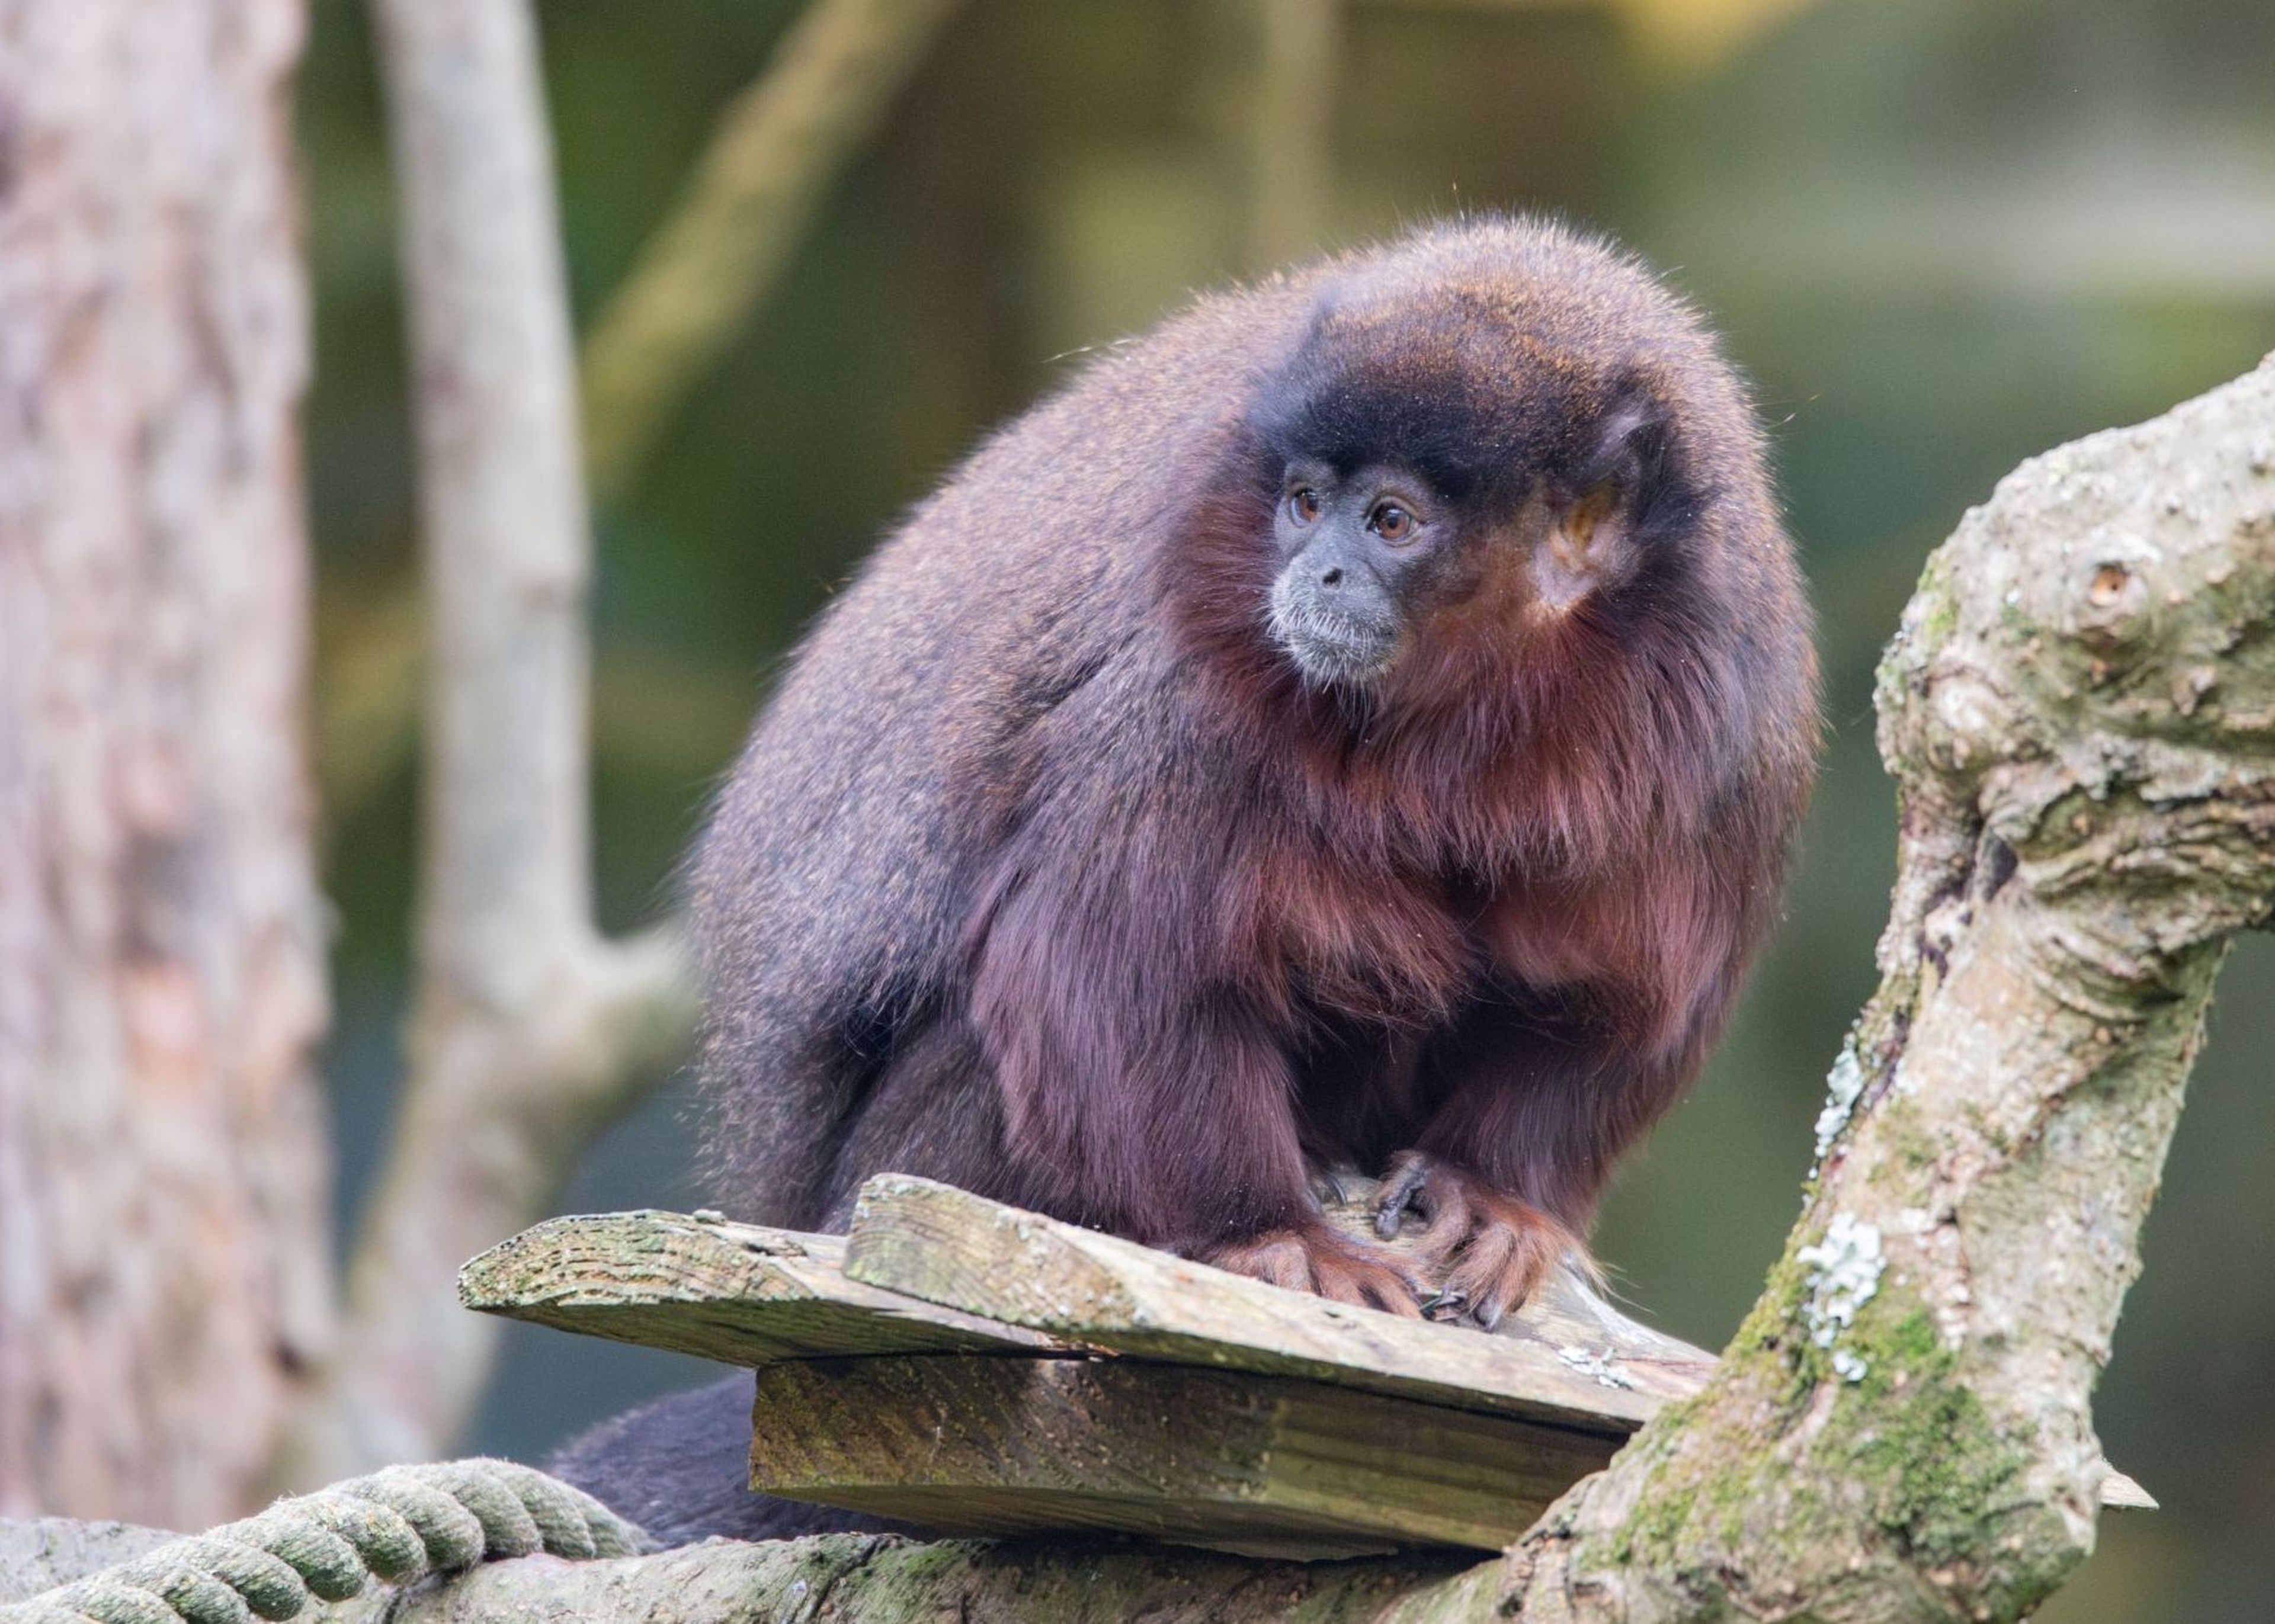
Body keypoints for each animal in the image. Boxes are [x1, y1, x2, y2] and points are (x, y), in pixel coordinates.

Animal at [552, 215, 1818, 1545]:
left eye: (1391, 521)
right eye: (1305, 505)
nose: (1316, 574)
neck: (1495, 710)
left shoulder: (1736, 703)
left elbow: (1619, 1002)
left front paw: (1497, 1198)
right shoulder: (1189, 656)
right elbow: (1103, 957)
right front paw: (1262, 1234)